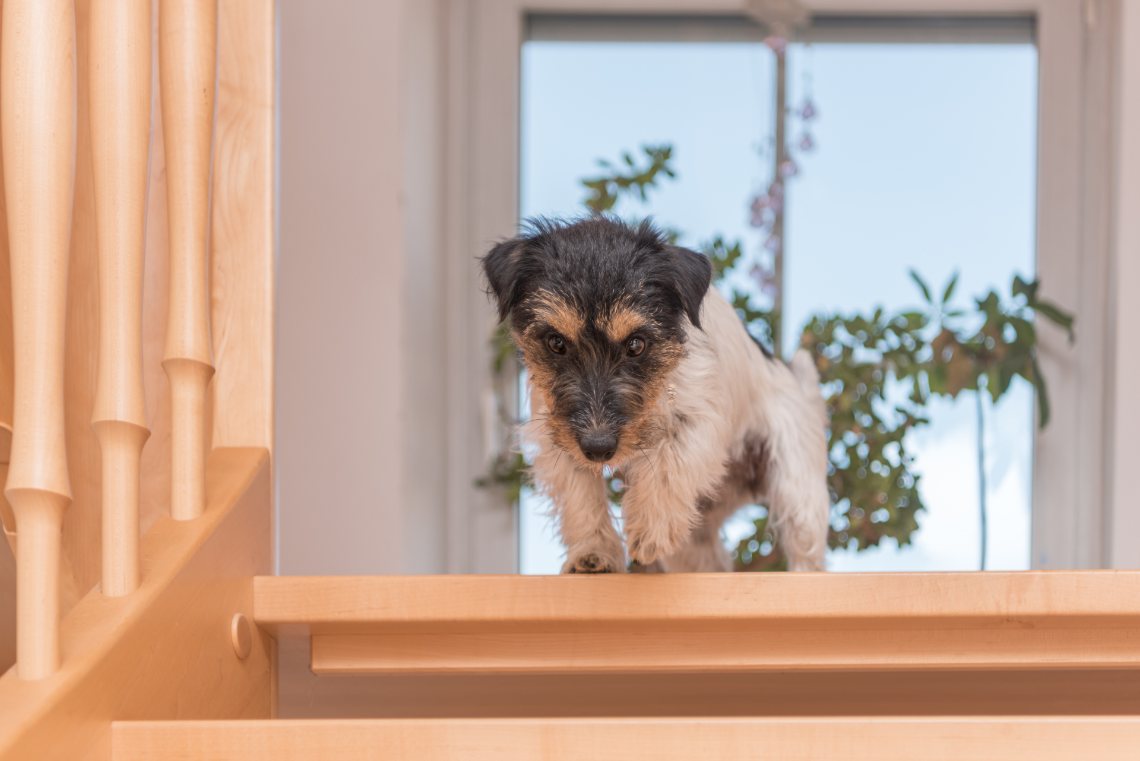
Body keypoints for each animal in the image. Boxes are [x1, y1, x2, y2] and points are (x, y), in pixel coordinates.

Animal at [481, 216, 829, 574]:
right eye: (556, 343)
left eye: (636, 344)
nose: (599, 448)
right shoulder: (558, 436)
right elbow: (581, 497)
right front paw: (593, 553)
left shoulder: (698, 422)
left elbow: (667, 464)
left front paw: (649, 529)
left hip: (797, 487)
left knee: (806, 548)